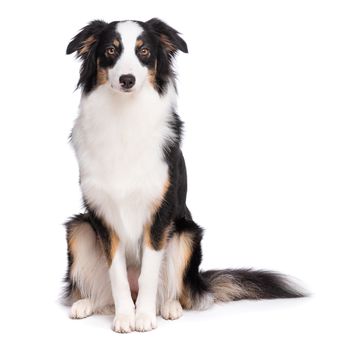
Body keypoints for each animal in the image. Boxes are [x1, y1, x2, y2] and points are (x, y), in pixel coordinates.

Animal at [64, 18, 306, 334]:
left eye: (143, 51)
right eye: (110, 50)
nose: (127, 80)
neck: (125, 117)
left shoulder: (161, 214)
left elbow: (149, 274)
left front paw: (143, 317)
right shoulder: (103, 216)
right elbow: (116, 274)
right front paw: (125, 317)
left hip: (186, 233)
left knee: (177, 292)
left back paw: (168, 307)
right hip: (79, 228)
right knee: (103, 292)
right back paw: (86, 304)